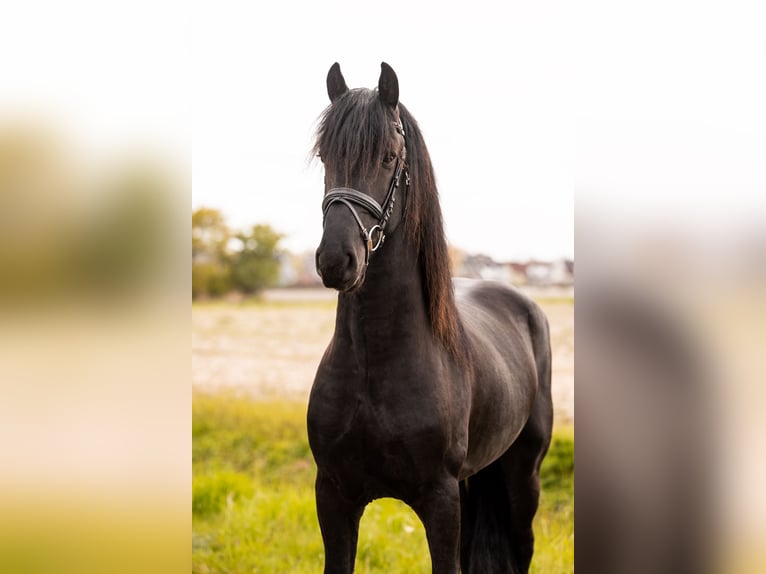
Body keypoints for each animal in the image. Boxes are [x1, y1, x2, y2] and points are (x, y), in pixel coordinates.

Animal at [307, 62, 553, 574]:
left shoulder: (440, 501)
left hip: (524, 477)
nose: (337, 260)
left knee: (522, 545)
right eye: (324, 156)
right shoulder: (333, 497)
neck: (376, 363)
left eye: (387, 156)